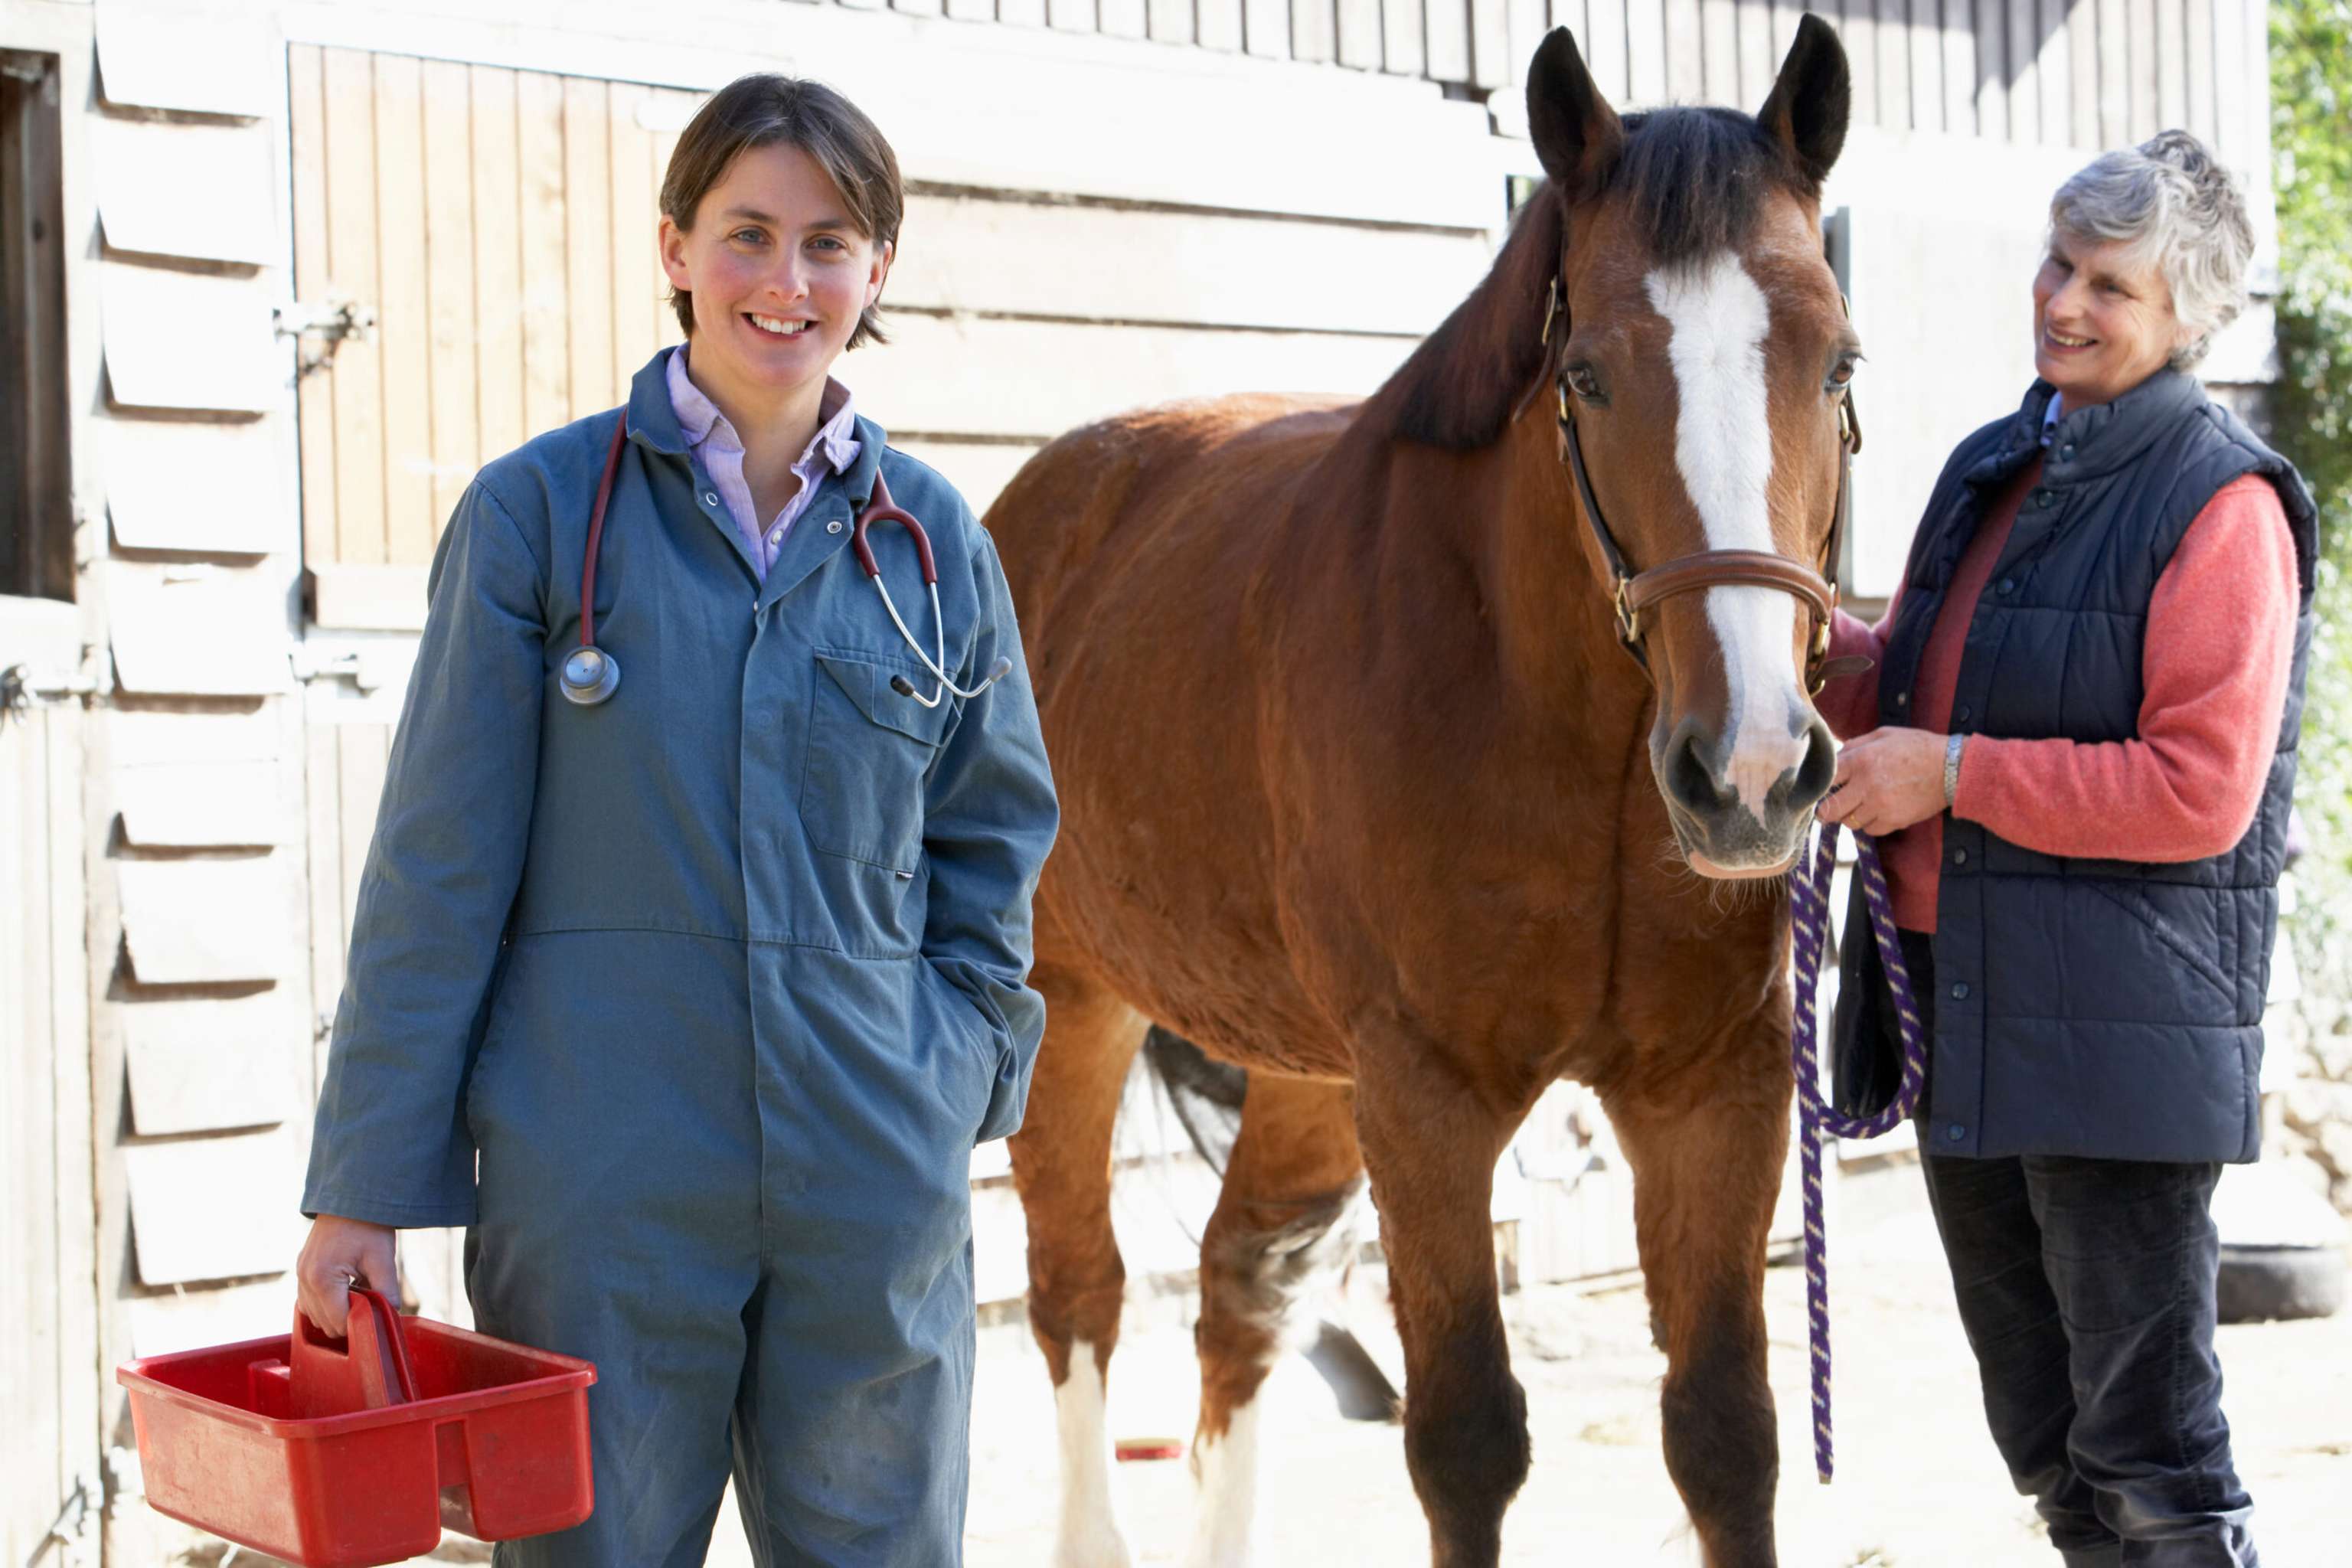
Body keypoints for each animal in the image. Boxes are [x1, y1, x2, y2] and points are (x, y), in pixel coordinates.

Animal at [985, 20, 1860, 1567]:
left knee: (1237, 1289)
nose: (1751, 769)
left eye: (1834, 363)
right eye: (1589, 375)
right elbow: (1463, 1440)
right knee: (1079, 1291)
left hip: (1304, 1071)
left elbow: (1722, 1434)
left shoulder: (1716, 1089)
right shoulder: (1429, 1100)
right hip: (1074, 1007)